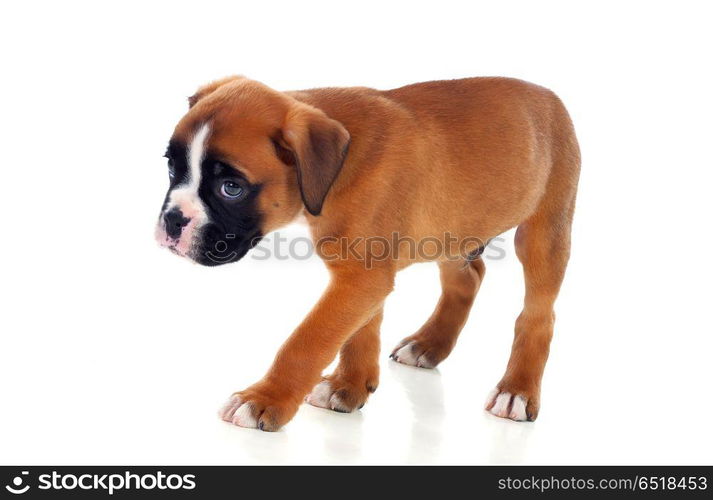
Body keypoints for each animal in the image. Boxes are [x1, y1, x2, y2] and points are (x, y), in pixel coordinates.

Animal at [154, 74, 580, 430]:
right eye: (173, 167)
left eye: (231, 187)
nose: (173, 221)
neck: (340, 166)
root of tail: (550, 96)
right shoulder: (362, 275)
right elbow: (360, 328)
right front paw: (350, 385)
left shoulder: (360, 277)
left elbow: (309, 339)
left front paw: (264, 399)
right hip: (453, 231)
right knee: (468, 278)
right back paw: (429, 345)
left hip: (543, 233)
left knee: (538, 315)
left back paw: (517, 390)